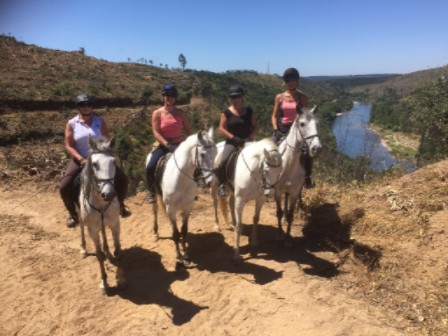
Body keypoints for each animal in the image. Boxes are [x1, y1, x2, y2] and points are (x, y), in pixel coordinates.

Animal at [79, 135, 126, 296]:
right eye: (94, 164)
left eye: (113, 162)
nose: (109, 194)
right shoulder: (92, 230)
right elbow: (98, 255)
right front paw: (104, 284)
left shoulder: (115, 223)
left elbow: (118, 250)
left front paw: (120, 275)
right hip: (81, 219)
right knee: (81, 227)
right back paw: (83, 249)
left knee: (105, 235)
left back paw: (108, 254)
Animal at [145, 129, 217, 270]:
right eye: (202, 154)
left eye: (216, 152)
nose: (212, 182)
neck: (180, 178)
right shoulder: (171, 209)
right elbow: (175, 234)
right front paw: (179, 257)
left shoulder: (187, 207)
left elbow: (183, 231)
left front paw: (186, 255)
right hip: (154, 194)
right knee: (155, 210)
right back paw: (155, 233)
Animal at [274, 106, 324, 245]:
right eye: (302, 124)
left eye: (317, 124)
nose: (317, 149)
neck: (288, 163)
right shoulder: (277, 191)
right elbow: (279, 212)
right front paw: (279, 234)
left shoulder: (295, 191)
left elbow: (291, 214)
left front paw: (287, 238)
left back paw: (299, 211)